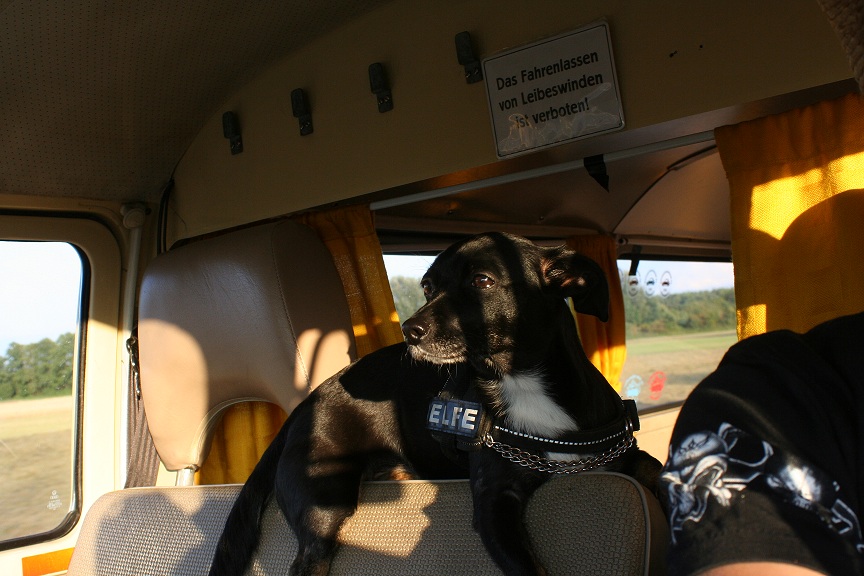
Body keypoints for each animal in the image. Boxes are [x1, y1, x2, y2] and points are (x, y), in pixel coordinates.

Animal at [208, 232, 661, 576]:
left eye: (482, 281)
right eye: (428, 288)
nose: (410, 329)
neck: (521, 384)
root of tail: (308, 401)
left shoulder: (624, 456)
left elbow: (654, 470)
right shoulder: (494, 504)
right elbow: (531, 569)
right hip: (324, 500)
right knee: (309, 558)